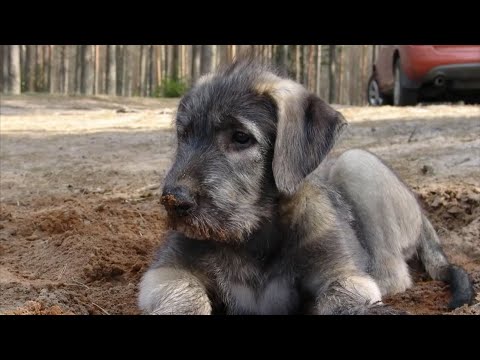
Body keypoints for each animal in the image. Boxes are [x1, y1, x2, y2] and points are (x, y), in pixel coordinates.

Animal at [137, 57, 474, 314]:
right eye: (184, 135)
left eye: (241, 137)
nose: (173, 200)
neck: (254, 236)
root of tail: (422, 214)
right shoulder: (166, 272)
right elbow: (184, 294)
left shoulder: (345, 275)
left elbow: (344, 298)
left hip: (355, 163)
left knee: (394, 273)